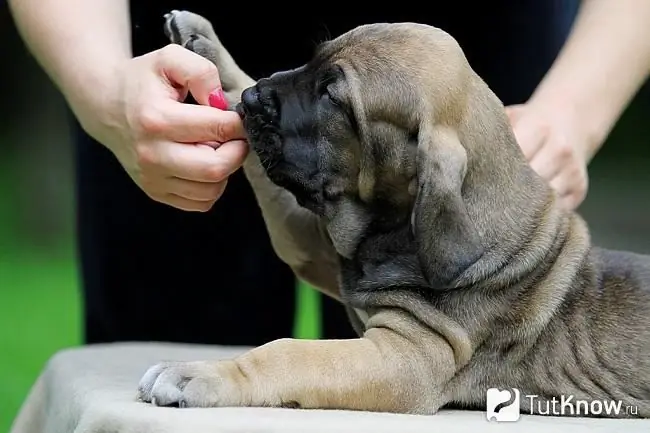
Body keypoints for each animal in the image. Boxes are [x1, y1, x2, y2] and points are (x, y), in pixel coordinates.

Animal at [138, 9, 650, 416]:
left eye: (332, 95)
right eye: (314, 63)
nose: (250, 103)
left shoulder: (407, 355)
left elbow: (289, 353)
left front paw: (200, 374)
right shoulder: (323, 251)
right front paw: (207, 47)